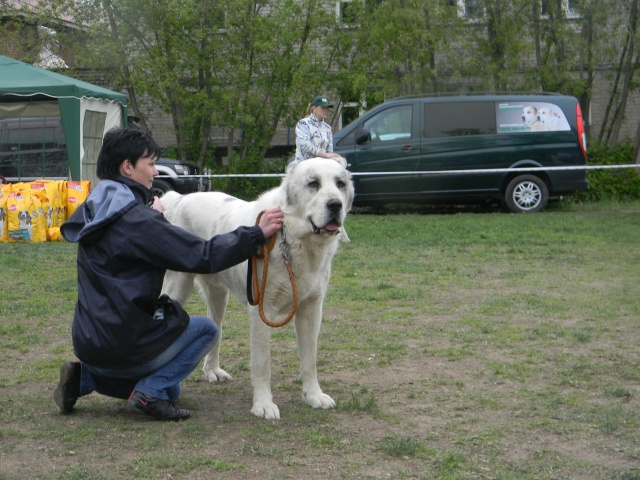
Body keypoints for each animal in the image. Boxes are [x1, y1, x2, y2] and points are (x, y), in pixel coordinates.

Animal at [158, 158, 352, 420]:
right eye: (313, 183)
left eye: (340, 184)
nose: (335, 204)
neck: (292, 238)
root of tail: (179, 198)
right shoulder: (262, 311)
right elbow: (262, 364)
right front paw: (263, 404)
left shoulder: (311, 310)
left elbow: (310, 358)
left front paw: (313, 396)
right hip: (178, 286)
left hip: (219, 296)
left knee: (216, 329)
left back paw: (213, 371)